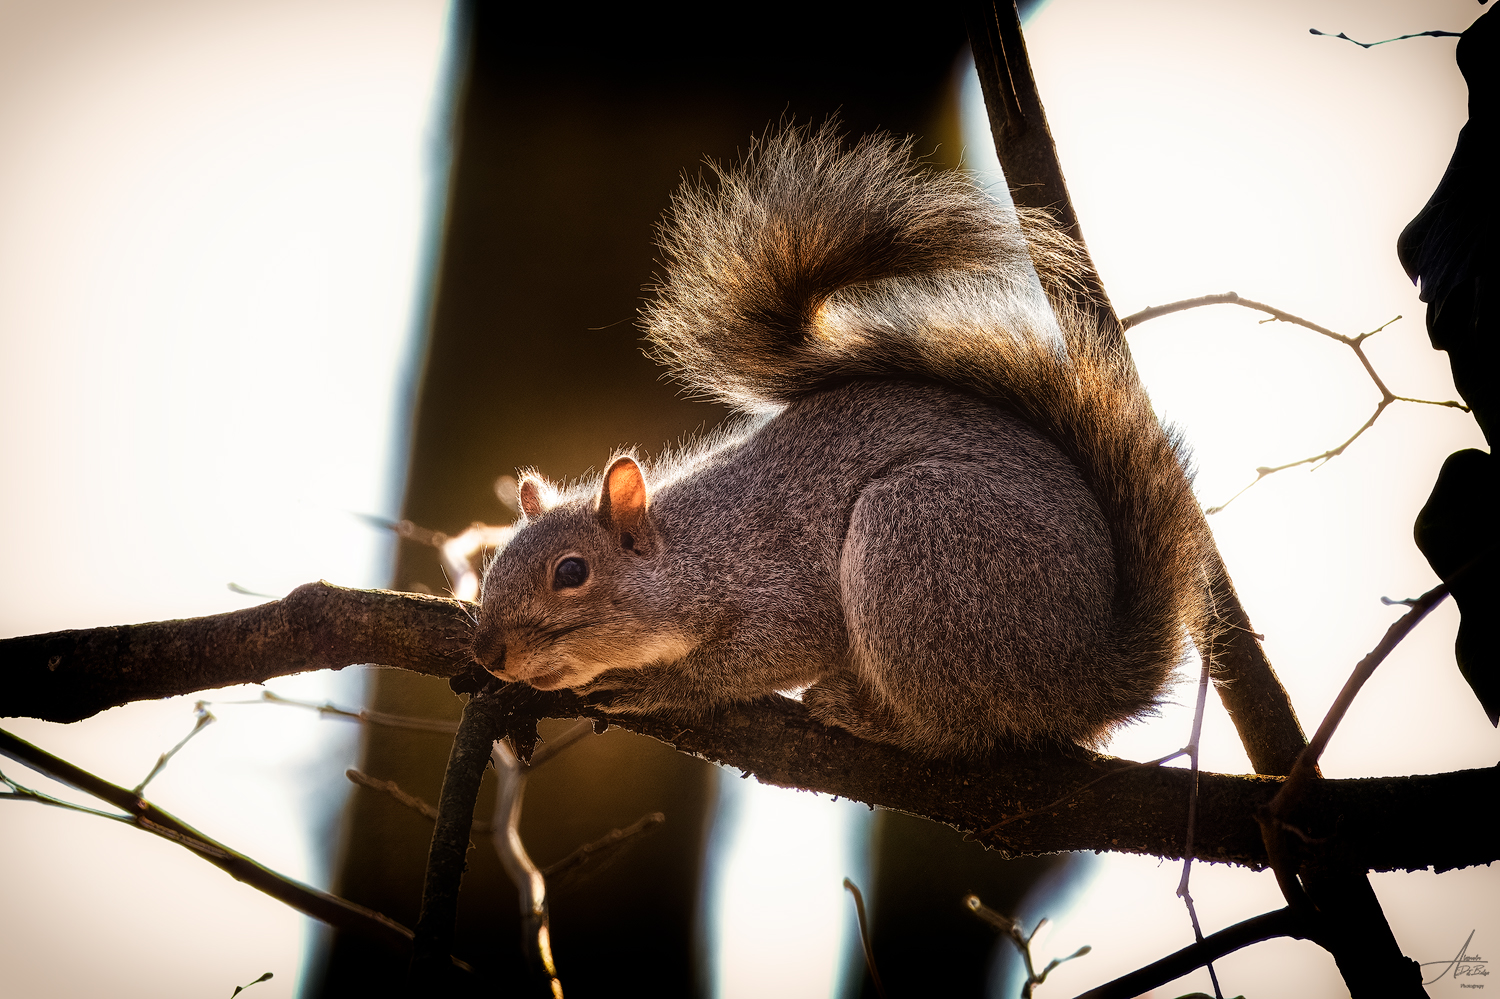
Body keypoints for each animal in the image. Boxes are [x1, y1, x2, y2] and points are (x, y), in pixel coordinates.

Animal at [472, 125, 1211, 760]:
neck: (695, 548)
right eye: (492, 566)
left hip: (920, 547)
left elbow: (755, 656)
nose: (487, 653)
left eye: (572, 572)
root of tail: (1090, 674)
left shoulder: (786, 592)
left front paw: (653, 686)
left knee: (955, 730)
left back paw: (861, 712)